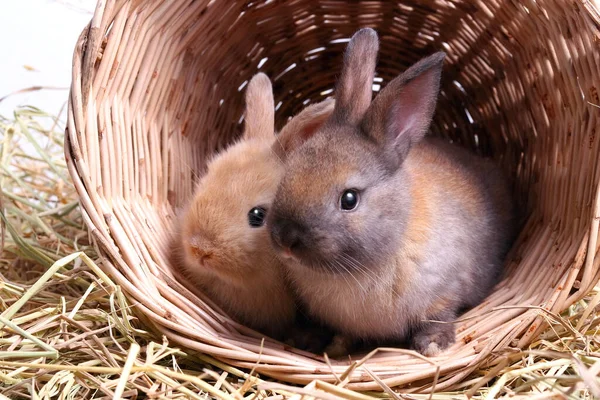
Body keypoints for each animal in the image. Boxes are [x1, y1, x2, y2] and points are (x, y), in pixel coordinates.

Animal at [268, 30, 516, 356]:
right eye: (289, 171)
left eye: (349, 199)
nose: (285, 239)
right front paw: (305, 338)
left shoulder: (446, 290)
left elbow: (440, 315)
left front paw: (432, 345)